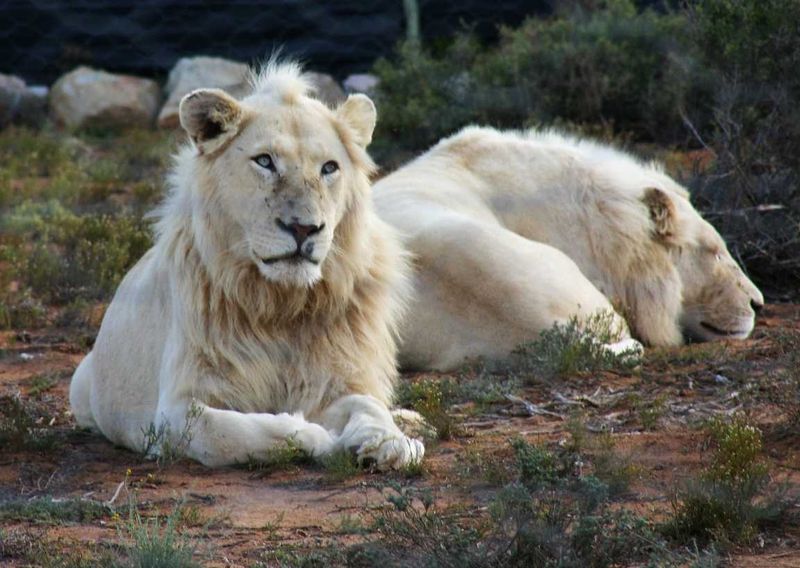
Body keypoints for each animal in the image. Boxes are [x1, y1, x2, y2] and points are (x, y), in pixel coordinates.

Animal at [69, 61, 424, 470]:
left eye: (329, 168)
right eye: (265, 161)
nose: (304, 228)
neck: (281, 304)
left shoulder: (334, 379)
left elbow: (368, 405)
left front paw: (391, 442)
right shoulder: (174, 412)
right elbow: (242, 432)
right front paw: (319, 437)